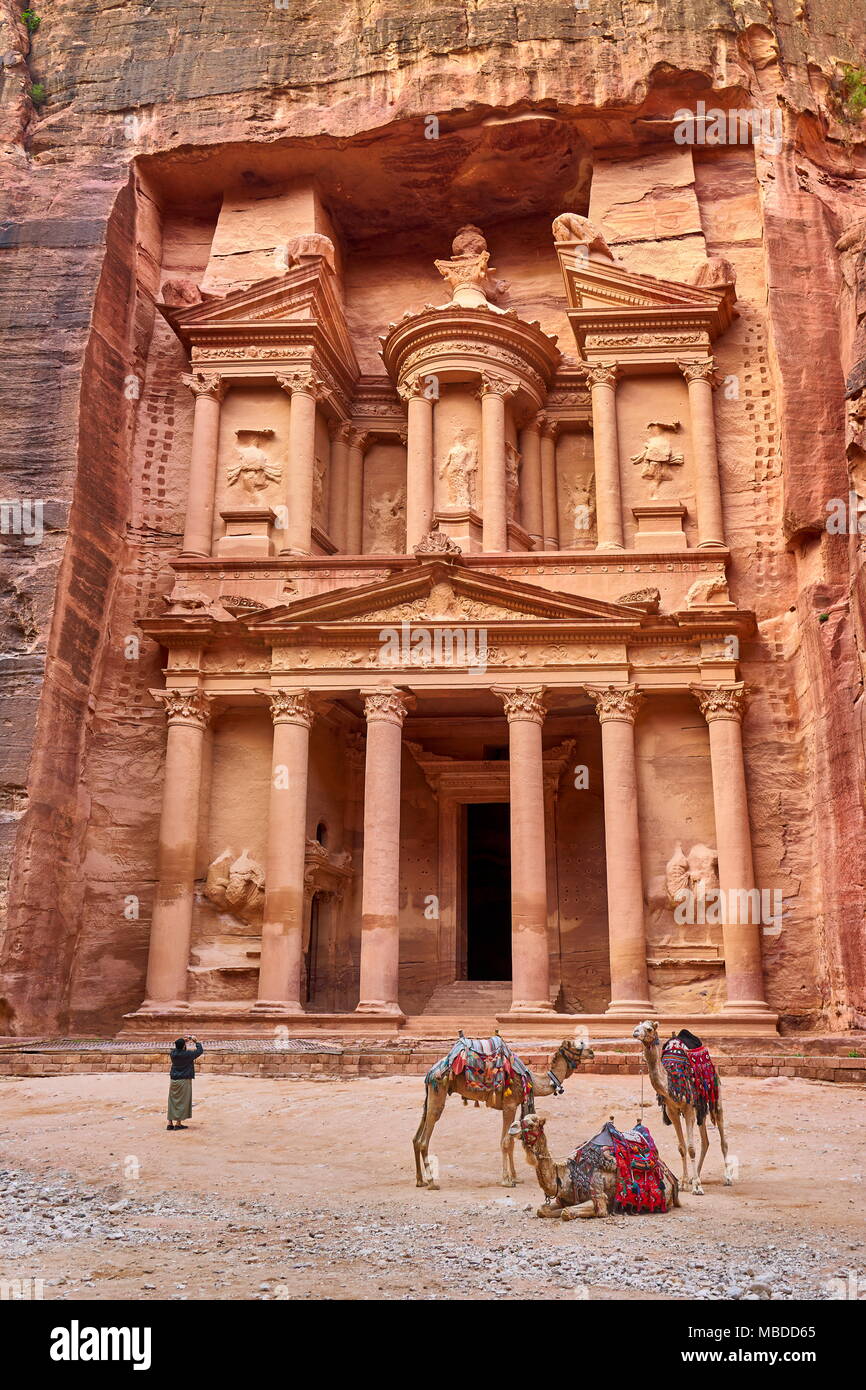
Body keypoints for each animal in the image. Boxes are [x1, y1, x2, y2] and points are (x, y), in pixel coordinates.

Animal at [411, 1039, 589, 1189]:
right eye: (577, 1045)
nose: (592, 1052)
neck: (530, 1079)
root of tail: (430, 1072)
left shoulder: (512, 1106)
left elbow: (511, 1142)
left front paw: (515, 1177)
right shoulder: (509, 1105)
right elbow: (506, 1142)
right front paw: (506, 1180)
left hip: (430, 1096)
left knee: (417, 1136)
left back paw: (420, 1180)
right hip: (438, 1089)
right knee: (425, 1139)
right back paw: (432, 1182)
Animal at [514, 1106, 678, 1217]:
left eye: (532, 1124)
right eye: (522, 1119)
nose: (513, 1127)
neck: (568, 1174)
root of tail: (669, 1177)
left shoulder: (599, 1197)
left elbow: (567, 1212)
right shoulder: (562, 1199)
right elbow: (542, 1210)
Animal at [631, 1017, 733, 1200]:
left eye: (649, 1029)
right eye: (638, 1025)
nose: (635, 1032)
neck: (670, 1080)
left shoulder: (688, 1108)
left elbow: (691, 1148)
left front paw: (697, 1187)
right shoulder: (672, 1110)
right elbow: (682, 1147)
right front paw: (686, 1182)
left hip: (716, 1095)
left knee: (723, 1139)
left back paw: (727, 1178)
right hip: (700, 1106)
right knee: (705, 1140)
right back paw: (695, 1176)